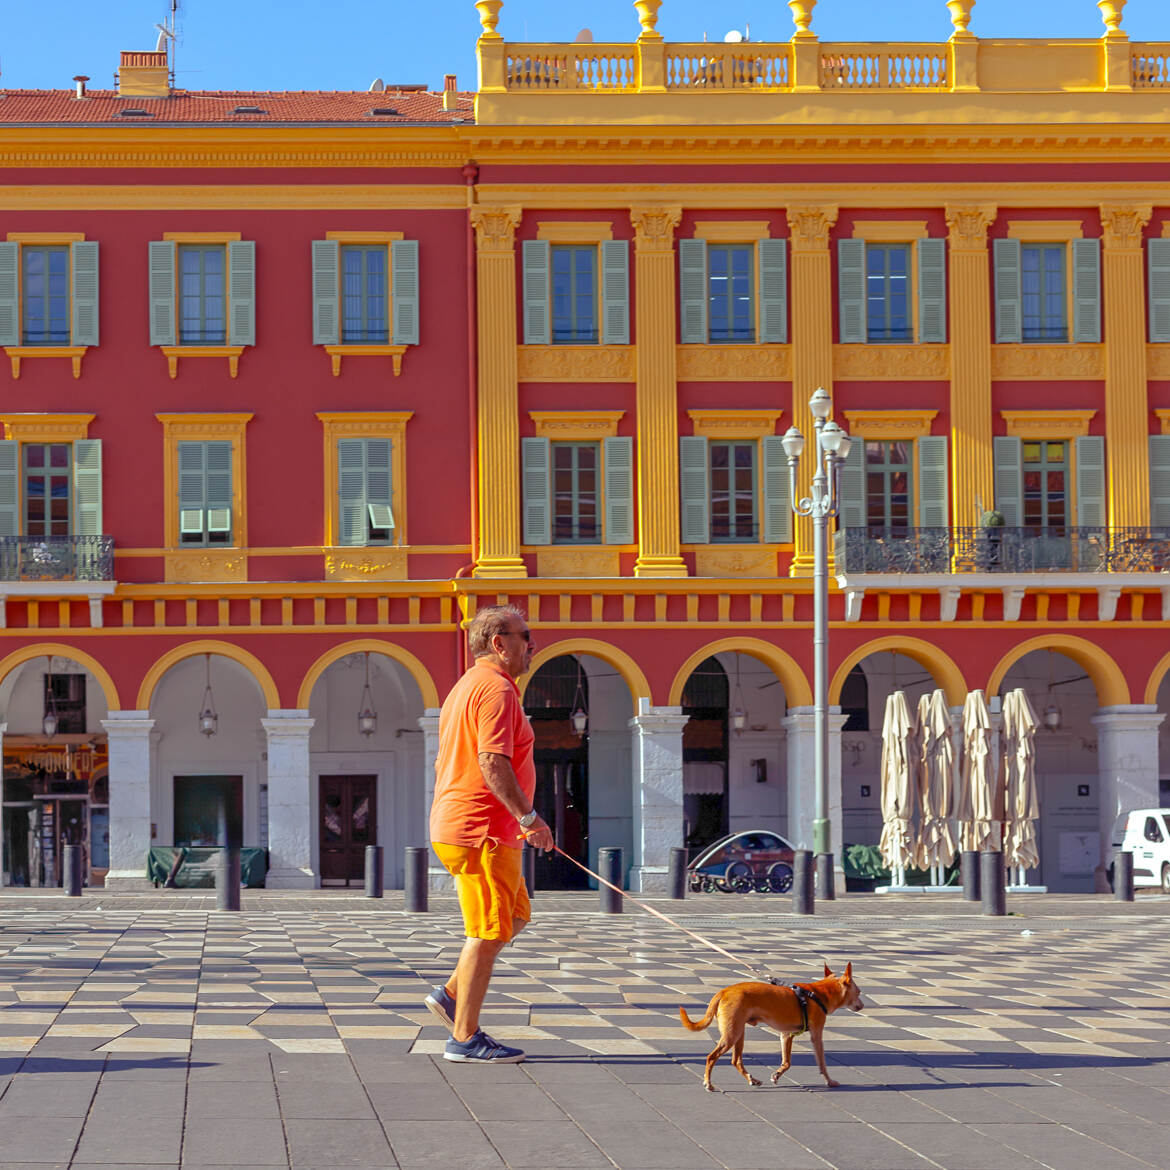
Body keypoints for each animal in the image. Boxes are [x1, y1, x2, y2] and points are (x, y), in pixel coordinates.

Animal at [683, 964, 865, 1090]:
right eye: (859, 992)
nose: (863, 1005)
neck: (818, 994)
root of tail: (723, 991)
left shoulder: (786, 1035)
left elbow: (787, 1061)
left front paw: (777, 1075)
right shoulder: (816, 1036)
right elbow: (821, 1062)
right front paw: (829, 1081)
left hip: (738, 1032)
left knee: (736, 1060)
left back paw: (752, 1079)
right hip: (731, 1035)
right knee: (711, 1057)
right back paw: (708, 1083)